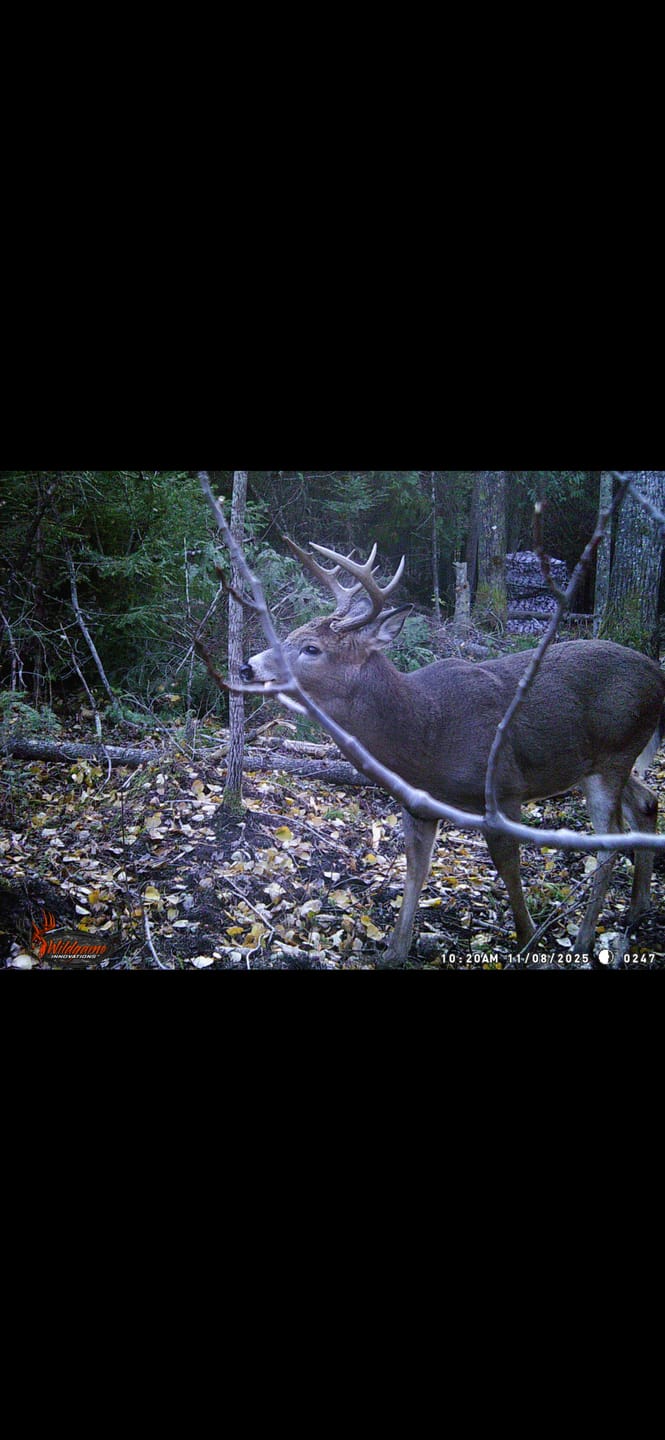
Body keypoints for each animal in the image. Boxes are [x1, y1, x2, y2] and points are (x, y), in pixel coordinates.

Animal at [240, 539, 665, 966]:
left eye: (311, 648)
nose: (247, 667)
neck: (427, 734)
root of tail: (657, 674)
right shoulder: (417, 805)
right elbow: (416, 869)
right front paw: (394, 951)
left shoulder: (504, 790)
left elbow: (508, 867)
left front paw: (527, 938)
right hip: (599, 761)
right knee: (646, 802)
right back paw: (637, 908)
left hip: (613, 754)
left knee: (611, 839)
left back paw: (583, 939)